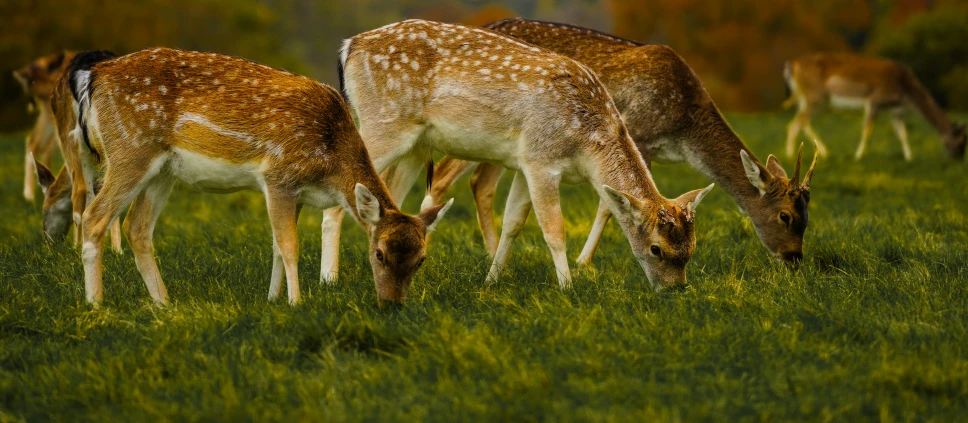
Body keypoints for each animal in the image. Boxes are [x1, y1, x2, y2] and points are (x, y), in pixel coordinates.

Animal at [45, 48, 454, 308]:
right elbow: (289, 245)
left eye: (421, 259)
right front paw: (296, 302)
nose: (392, 304)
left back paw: (164, 304)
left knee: (137, 227)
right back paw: (96, 304)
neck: (330, 166)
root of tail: (93, 76)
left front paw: (272, 299)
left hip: (162, 170)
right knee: (96, 216)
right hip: (129, 150)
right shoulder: (278, 175)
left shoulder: (296, 193)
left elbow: (275, 244)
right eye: (379, 253)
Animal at [324, 19, 712, 292]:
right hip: (383, 123)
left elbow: (513, 223)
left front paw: (491, 280)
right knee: (338, 196)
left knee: (388, 197)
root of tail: (348, 46)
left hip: (416, 146)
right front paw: (568, 287)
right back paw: (329, 279)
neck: (587, 147)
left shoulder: (526, 164)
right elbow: (554, 229)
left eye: (692, 249)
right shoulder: (542, 159)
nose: (675, 290)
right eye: (657, 249)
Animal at [424, 19, 816, 268]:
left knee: (480, 182)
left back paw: (492, 256)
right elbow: (609, 205)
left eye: (808, 218)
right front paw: (584, 261)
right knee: (442, 175)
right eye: (785, 216)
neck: (684, 132)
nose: (794, 259)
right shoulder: (637, 134)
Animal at [784, 51, 964, 161]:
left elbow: (903, 134)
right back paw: (824, 152)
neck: (906, 93)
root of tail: (792, 65)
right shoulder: (874, 101)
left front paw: (909, 157)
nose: (958, 159)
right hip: (816, 96)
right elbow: (867, 130)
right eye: (961, 141)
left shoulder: (895, 112)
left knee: (794, 122)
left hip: (805, 99)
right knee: (802, 120)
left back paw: (791, 154)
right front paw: (858, 156)